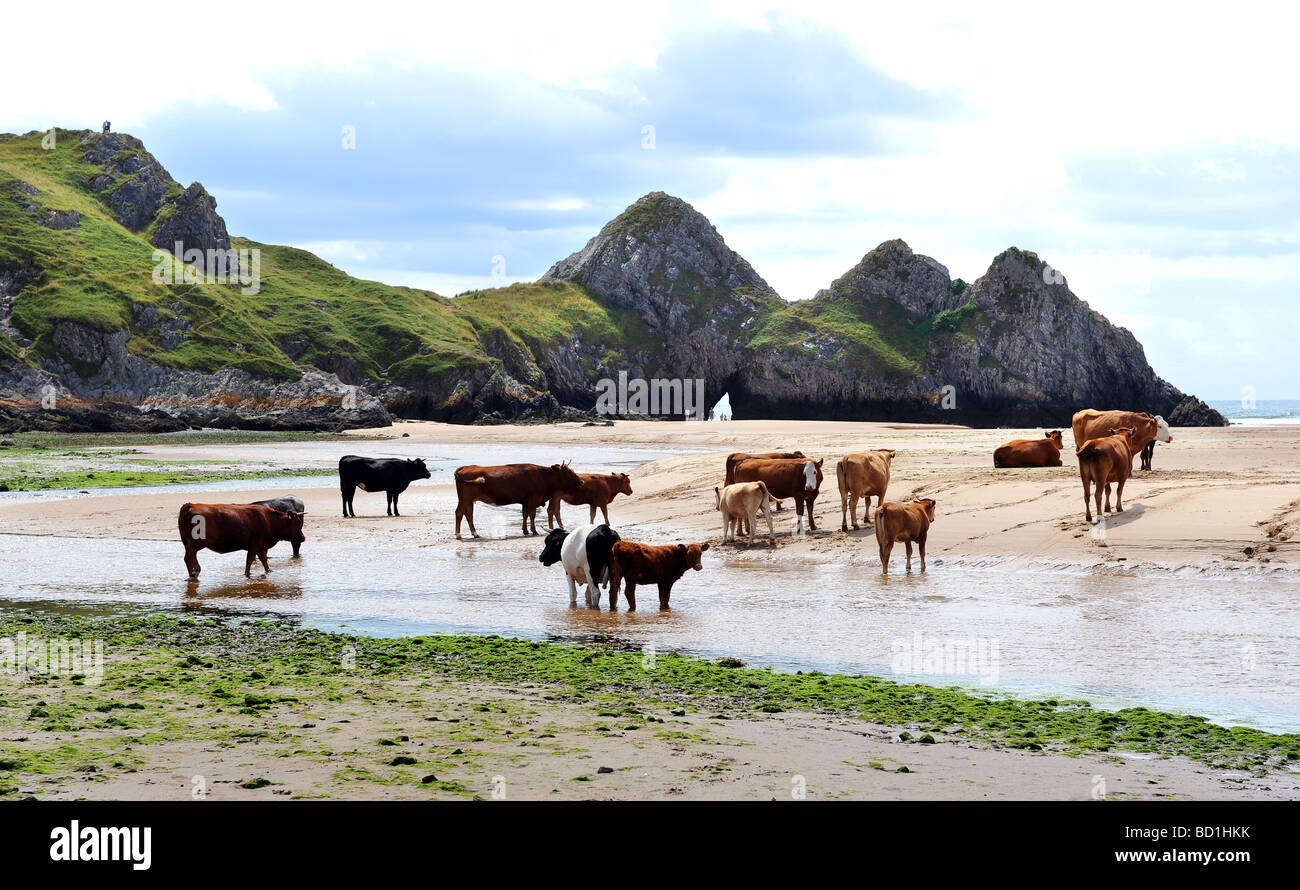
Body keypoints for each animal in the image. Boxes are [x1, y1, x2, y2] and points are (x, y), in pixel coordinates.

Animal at [454, 462, 582, 537]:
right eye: (568, 472)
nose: (581, 481)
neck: (542, 476)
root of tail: (465, 467)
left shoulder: (525, 501)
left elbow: (525, 514)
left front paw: (525, 531)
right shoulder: (532, 499)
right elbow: (532, 514)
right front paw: (534, 531)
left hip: (469, 500)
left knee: (468, 514)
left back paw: (475, 533)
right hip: (465, 499)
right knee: (459, 513)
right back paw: (458, 534)